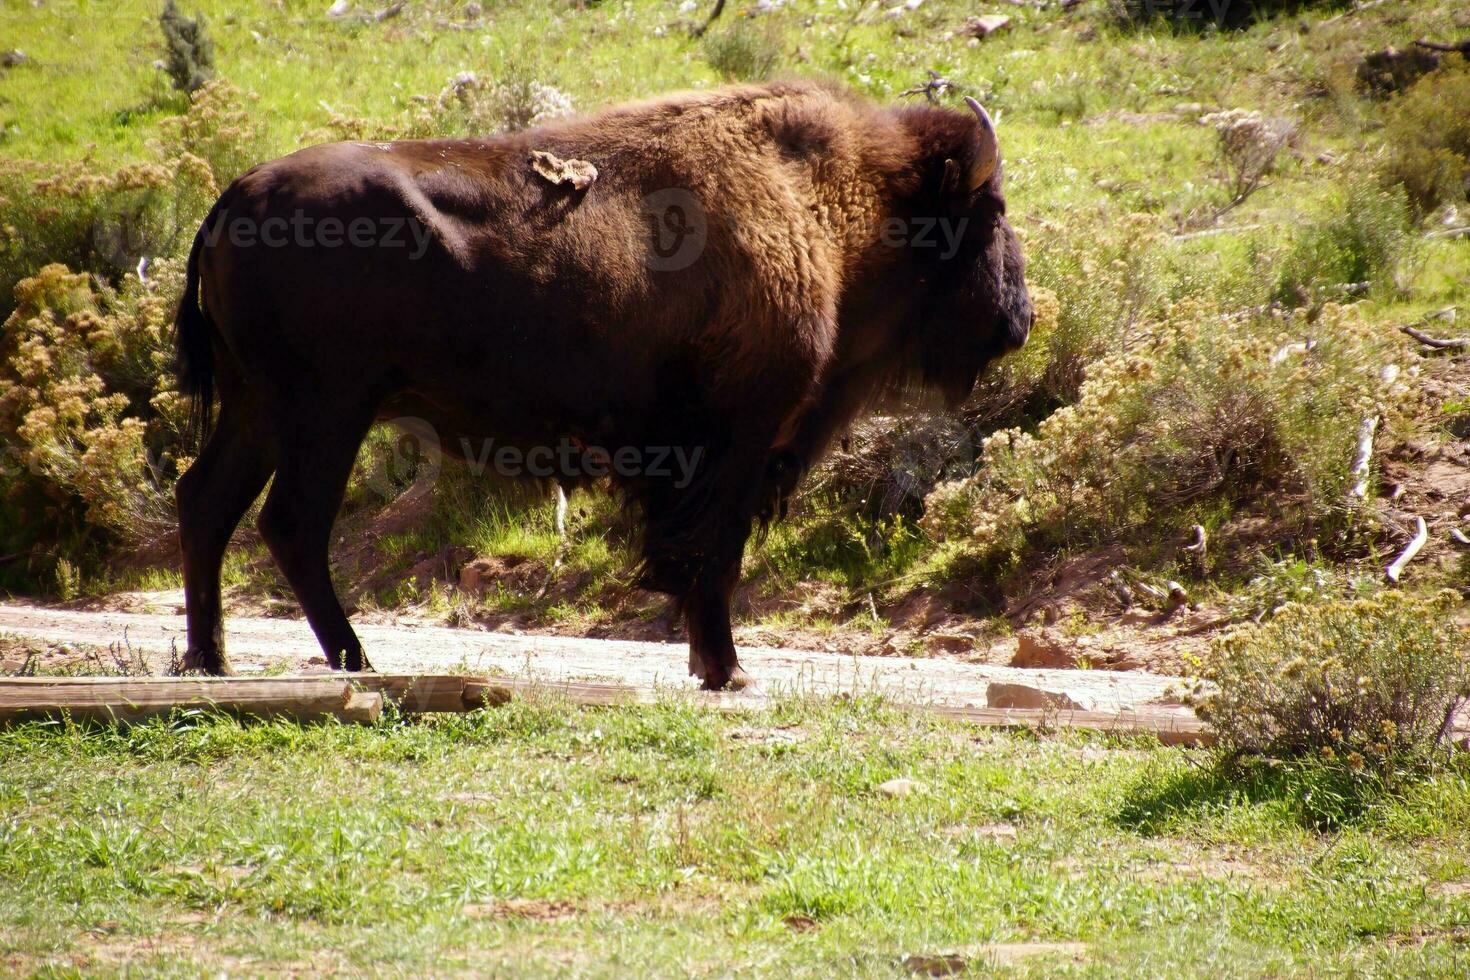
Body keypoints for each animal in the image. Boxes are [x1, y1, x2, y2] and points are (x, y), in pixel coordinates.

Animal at [174, 82, 1034, 690]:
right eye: (990, 211)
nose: (1020, 317)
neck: (822, 199)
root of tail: (233, 197)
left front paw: (710, 663)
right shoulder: (739, 440)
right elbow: (713, 553)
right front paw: (727, 670)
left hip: (258, 410)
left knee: (207, 502)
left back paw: (213, 662)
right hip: (325, 414)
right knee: (290, 524)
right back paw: (355, 662)